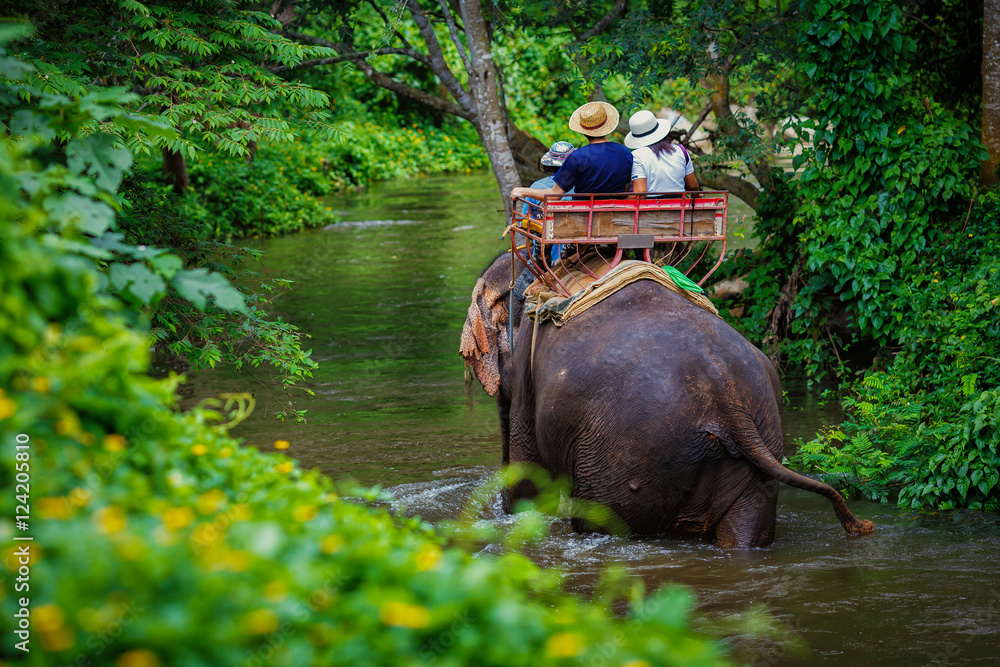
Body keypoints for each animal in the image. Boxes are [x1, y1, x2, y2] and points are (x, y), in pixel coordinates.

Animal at [460, 251, 875, 548]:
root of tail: (727, 399)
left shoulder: (528, 372)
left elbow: (529, 475)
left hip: (621, 457)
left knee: (598, 521)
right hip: (762, 441)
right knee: (745, 532)